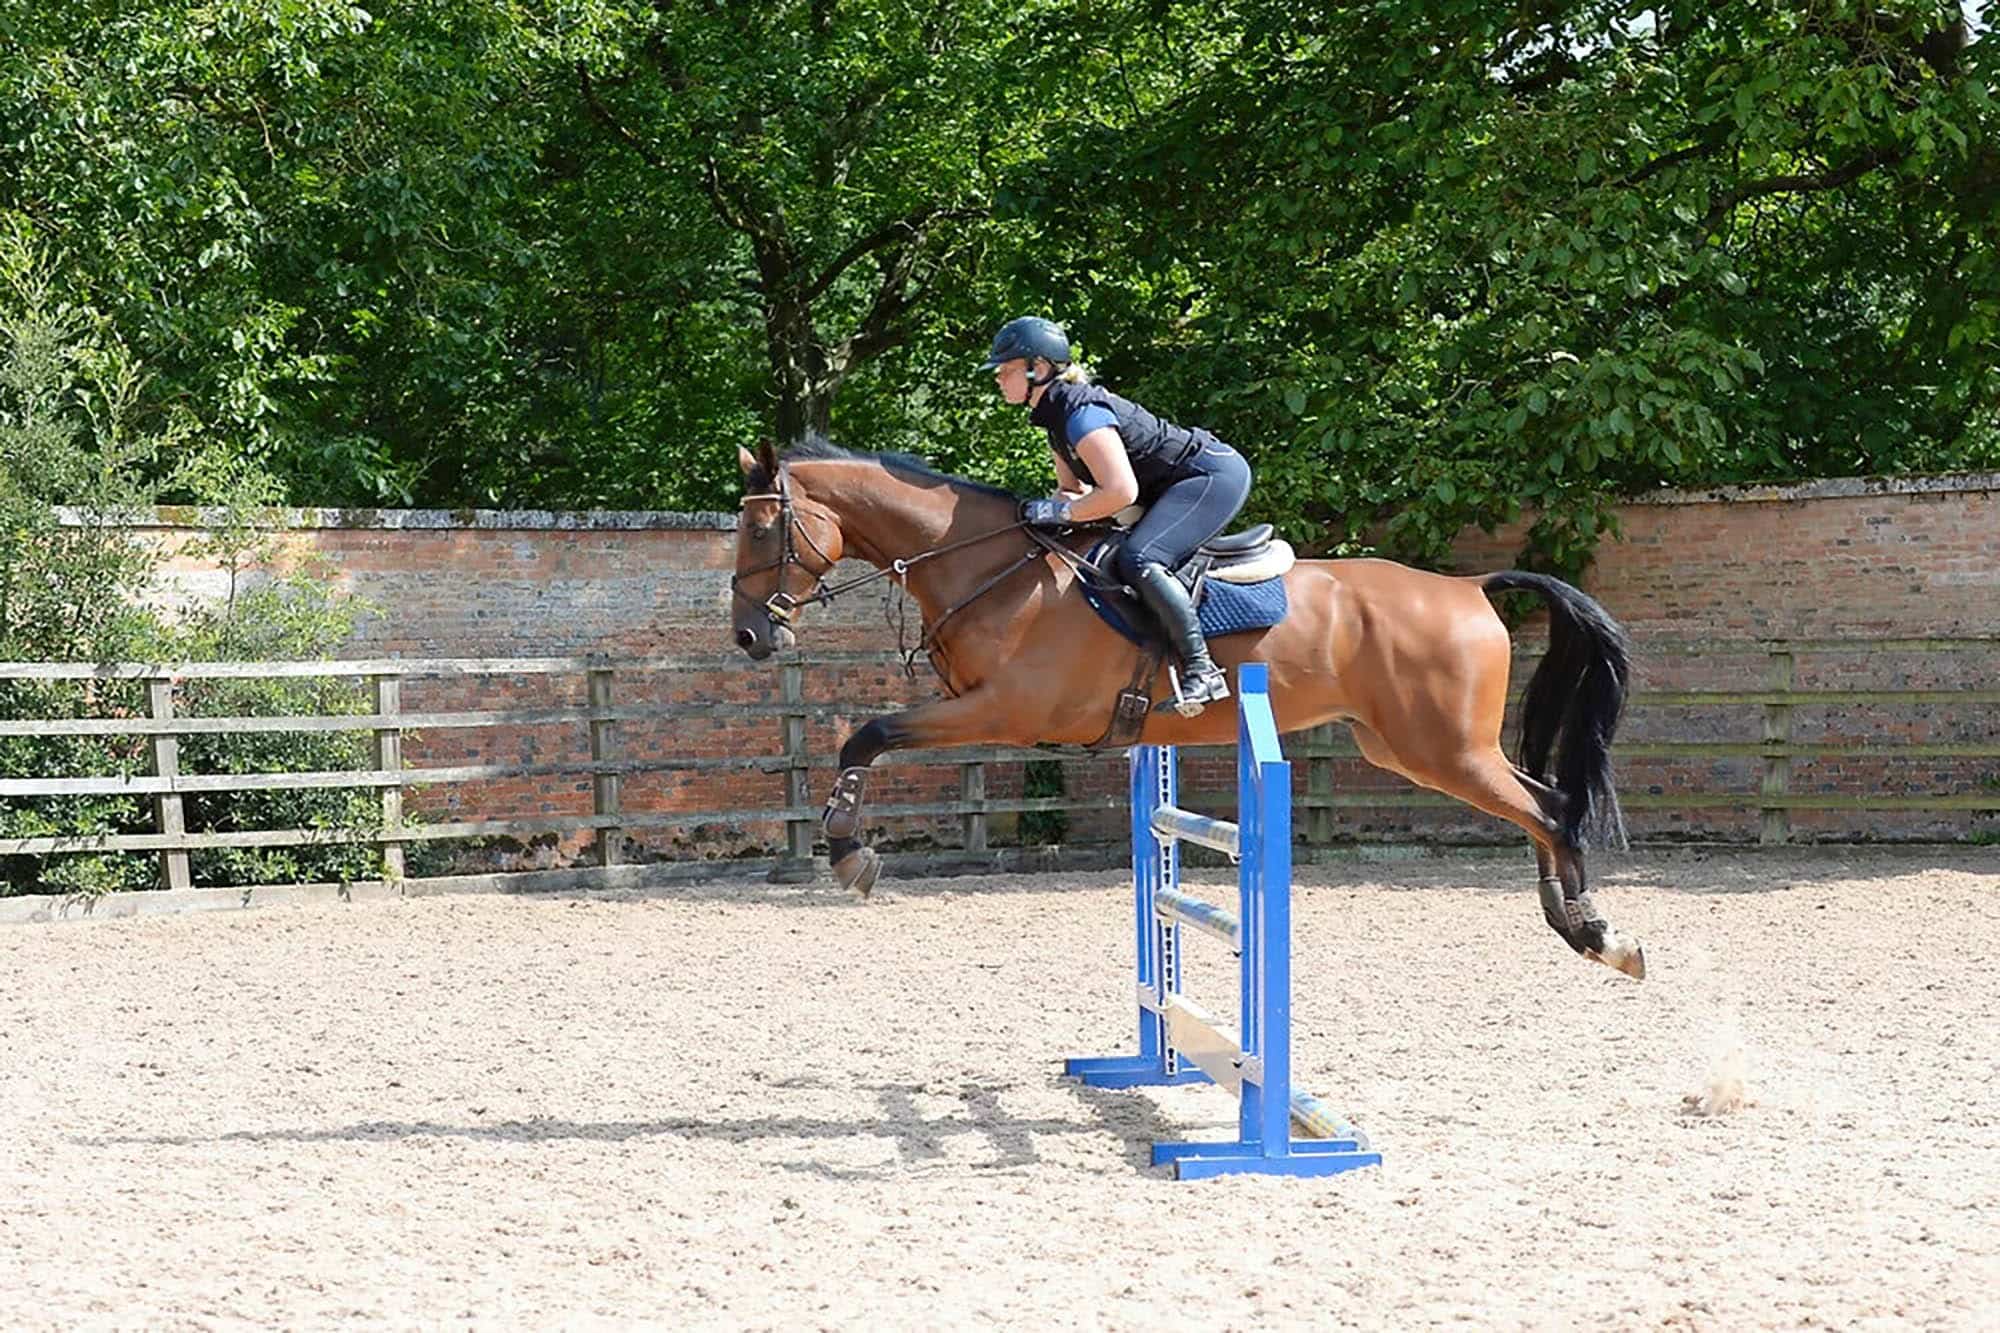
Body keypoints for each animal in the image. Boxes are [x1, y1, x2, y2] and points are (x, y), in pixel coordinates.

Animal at [729, 437, 1646, 980]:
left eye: (762, 531)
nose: (747, 633)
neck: (987, 565)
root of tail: (1469, 586)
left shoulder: (1007, 710)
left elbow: (868, 734)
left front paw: (848, 852)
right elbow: (870, 736)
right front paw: (846, 846)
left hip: (1442, 749)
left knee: (1551, 807)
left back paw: (1596, 932)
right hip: (1408, 747)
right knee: (1540, 805)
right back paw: (1572, 923)